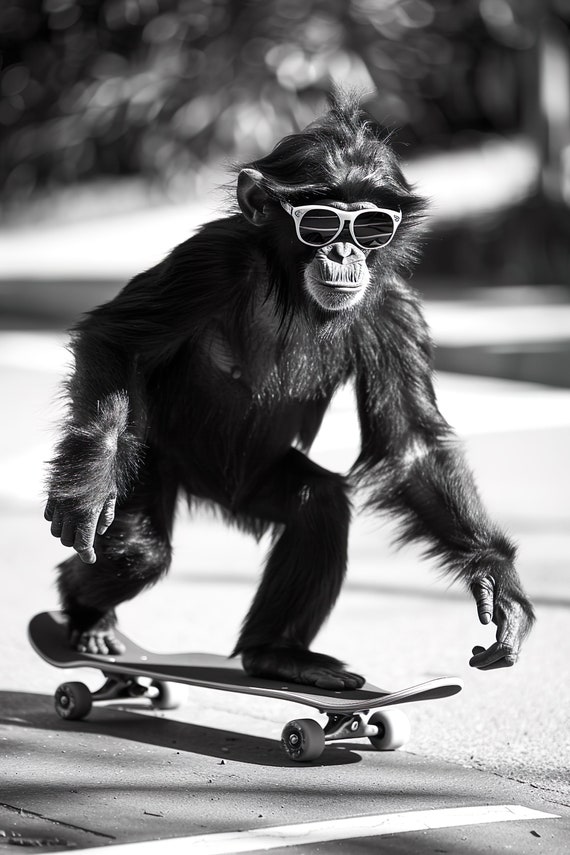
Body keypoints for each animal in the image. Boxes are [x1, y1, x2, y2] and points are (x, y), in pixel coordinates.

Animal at [45, 91, 535, 689]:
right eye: (320, 222)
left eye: (372, 226)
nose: (347, 252)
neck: (290, 288)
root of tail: (208, 490)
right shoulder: (207, 260)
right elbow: (117, 338)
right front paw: (87, 490)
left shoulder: (394, 308)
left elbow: (411, 445)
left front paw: (498, 584)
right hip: (154, 458)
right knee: (138, 552)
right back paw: (86, 615)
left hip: (254, 481)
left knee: (317, 505)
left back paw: (276, 653)